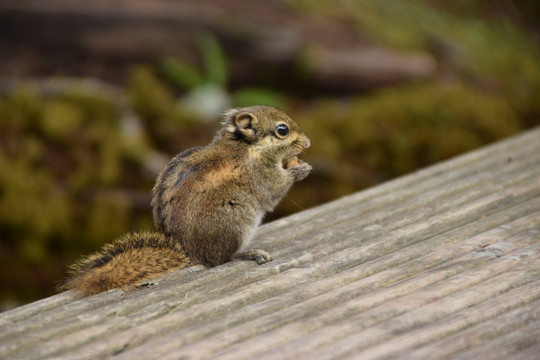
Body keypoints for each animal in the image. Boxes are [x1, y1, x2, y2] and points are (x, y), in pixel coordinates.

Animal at [59, 106, 310, 296]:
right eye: (282, 130)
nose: (307, 143)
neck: (247, 147)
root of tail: (190, 253)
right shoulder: (260, 174)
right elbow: (273, 190)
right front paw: (299, 170)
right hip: (233, 222)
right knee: (221, 259)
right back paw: (248, 253)